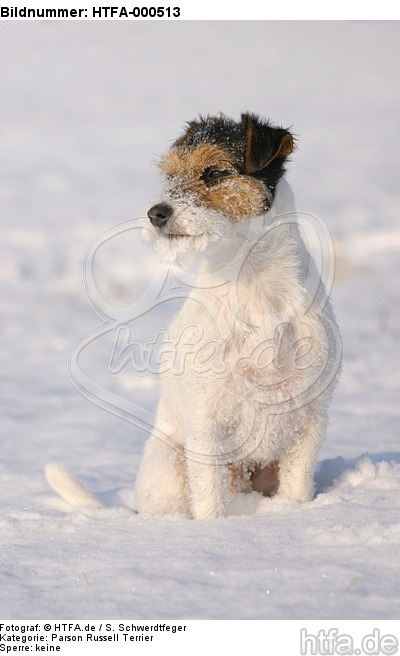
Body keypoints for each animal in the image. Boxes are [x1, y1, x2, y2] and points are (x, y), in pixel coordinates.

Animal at [46, 115, 340, 520]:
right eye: (170, 175)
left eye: (214, 172)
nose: (156, 213)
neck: (255, 289)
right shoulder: (207, 420)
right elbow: (209, 495)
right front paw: (212, 529)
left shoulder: (309, 416)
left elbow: (296, 487)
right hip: (171, 465)